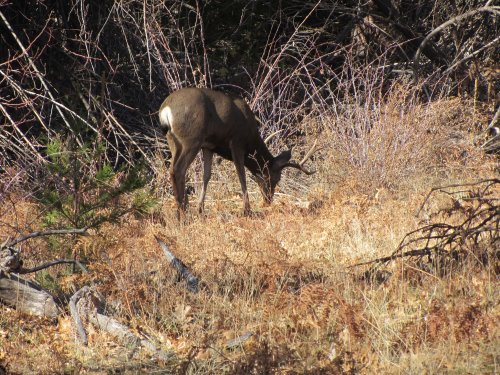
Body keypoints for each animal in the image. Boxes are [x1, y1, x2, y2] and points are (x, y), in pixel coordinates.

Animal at [158, 87, 318, 216]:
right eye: (275, 178)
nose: (268, 200)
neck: (251, 136)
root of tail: (165, 110)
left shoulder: (209, 146)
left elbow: (206, 175)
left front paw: (200, 209)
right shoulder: (237, 142)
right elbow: (241, 175)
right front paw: (247, 209)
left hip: (174, 140)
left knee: (173, 169)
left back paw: (182, 207)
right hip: (191, 139)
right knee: (178, 169)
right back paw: (183, 209)